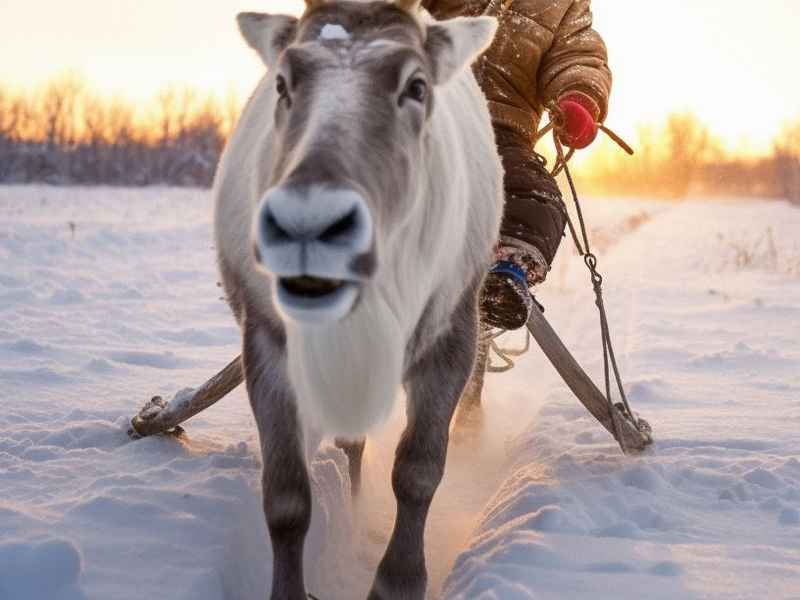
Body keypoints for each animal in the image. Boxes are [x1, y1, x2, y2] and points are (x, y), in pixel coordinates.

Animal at [213, 0, 502, 597]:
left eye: (416, 85)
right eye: (283, 81)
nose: (310, 224)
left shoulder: (451, 333)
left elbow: (419, 471)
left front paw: (398, 579)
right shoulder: (268, 341)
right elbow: (285, 495)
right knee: (351, 444)